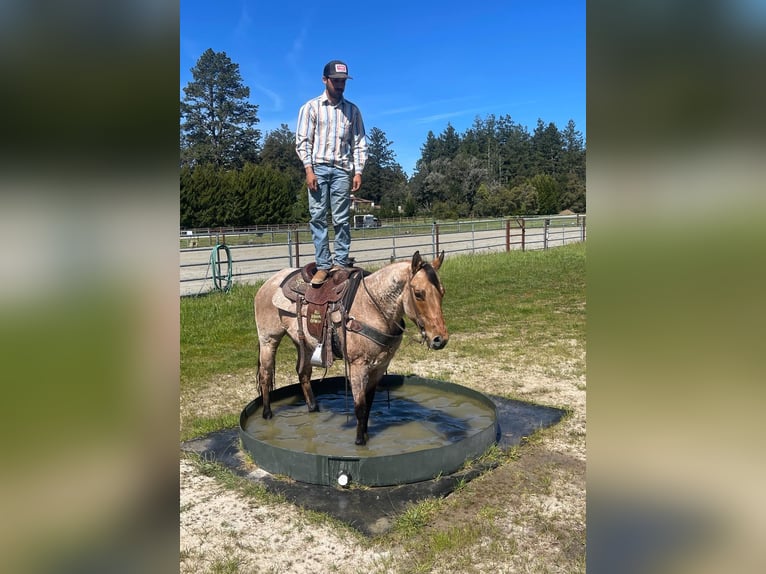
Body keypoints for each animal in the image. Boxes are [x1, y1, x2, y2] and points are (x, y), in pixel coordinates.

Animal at [256, 251, 450, 446]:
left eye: (442, 292)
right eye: (418, 294)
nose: (440, 339)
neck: (372, 307)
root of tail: (271, 281)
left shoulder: (380, 367)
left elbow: (369, 404)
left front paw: (366, 435)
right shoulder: (358, 366)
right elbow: (360, 406)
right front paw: (359, 442)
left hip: (303, 343)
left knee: (303, 373)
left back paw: (313, 408)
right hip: (268, 339)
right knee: (265, 374)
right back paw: (267, 414)